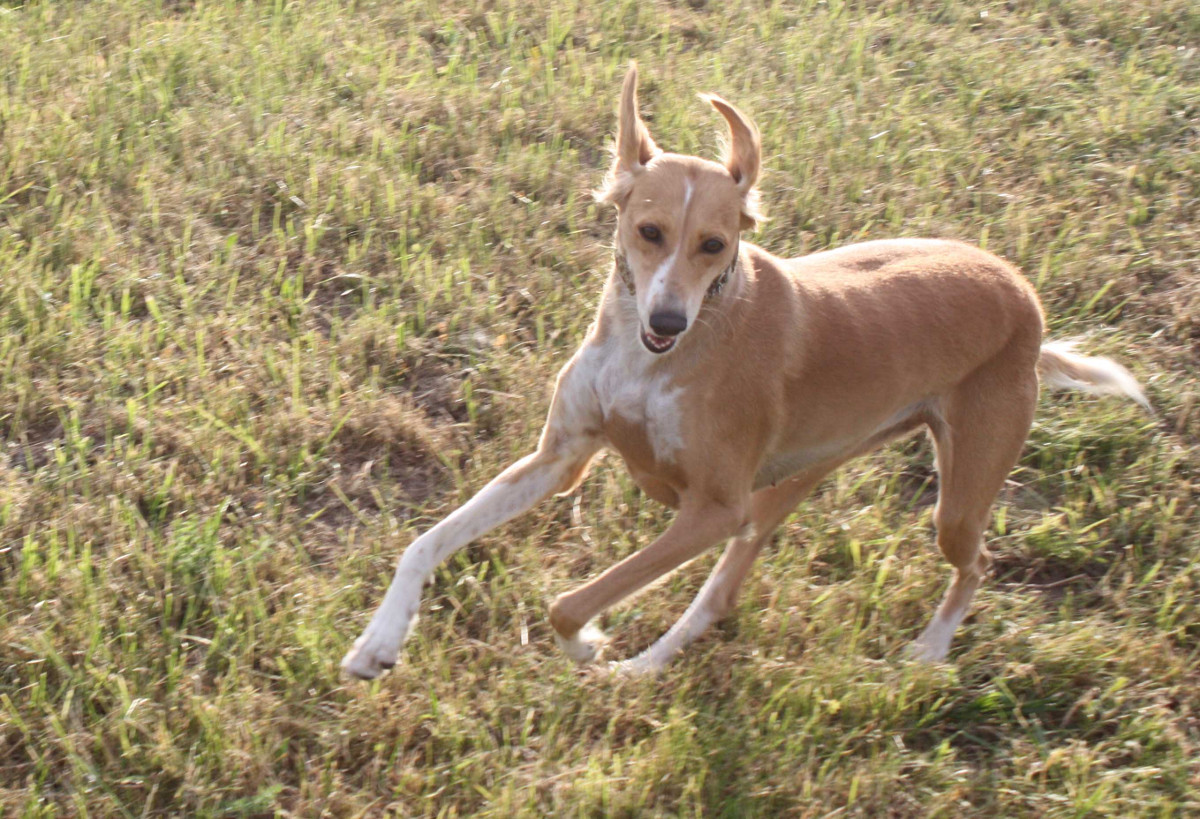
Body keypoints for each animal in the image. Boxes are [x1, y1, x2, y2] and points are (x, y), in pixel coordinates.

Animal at [340, 62, 1152, 677]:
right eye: (649, 231)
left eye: (716, 244)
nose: (669, 321)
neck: (650, 364)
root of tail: (1023, 297)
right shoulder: (560, 459)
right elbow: (427, 541)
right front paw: (379, 640)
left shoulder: (713, 507)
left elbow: (569, 602)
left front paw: (587, 642)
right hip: (782, 493)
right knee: (717, 598)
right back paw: (644, 668)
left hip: (951, 498)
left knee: (975, 562)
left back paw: (929, 650)